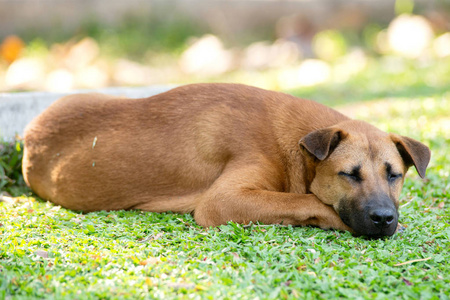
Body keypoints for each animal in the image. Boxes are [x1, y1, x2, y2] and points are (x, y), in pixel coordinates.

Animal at [22, 84, 430, 237]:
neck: (291, 144)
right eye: (349, 175)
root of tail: (28, 135)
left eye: (394, 175)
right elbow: (306, 201)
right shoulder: (223, 201)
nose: (384, 218)